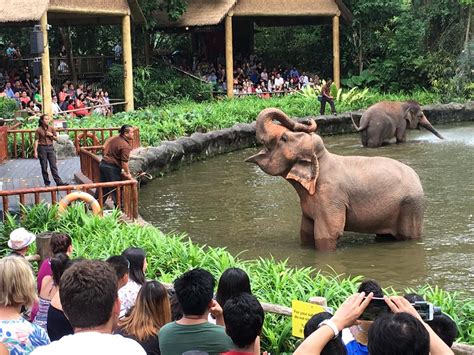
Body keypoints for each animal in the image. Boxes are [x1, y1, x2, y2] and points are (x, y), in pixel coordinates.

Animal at [246, 108, 424, 250]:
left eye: (284, 138)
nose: (308, 119)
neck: (322, 159)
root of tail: (417, 177)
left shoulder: (330, 198)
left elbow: (327, 234)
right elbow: (305, 232)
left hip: (411, 207)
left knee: (407, 235)